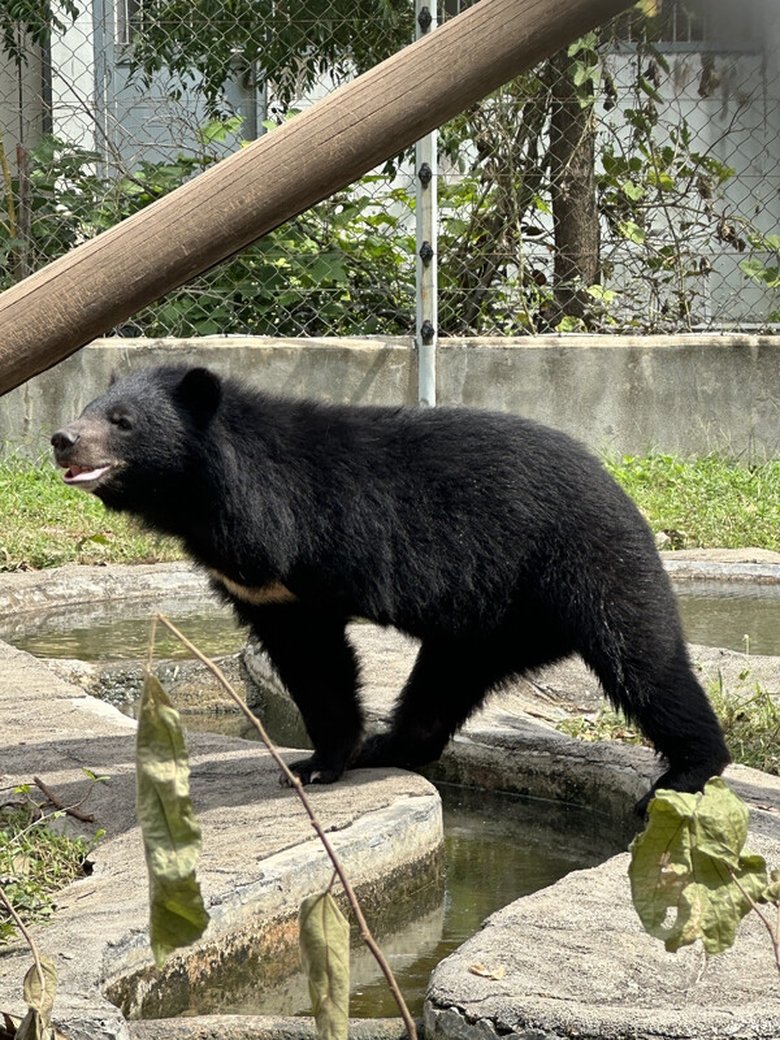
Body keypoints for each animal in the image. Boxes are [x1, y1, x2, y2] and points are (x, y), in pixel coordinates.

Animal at [51, 364, 730, 810]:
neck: (203, 499)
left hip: (584, 563)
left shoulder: (298, 542)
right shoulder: (264, 587)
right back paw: (385, 746)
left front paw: (316, 765)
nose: (61, 439)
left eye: (121, 421)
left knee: (643, 661)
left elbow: (320, 659)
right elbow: (310, 665)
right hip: (484, 626)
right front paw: (321, 762)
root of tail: (616, 486)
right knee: (438, 693)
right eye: (86, 407)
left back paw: (686, 773)